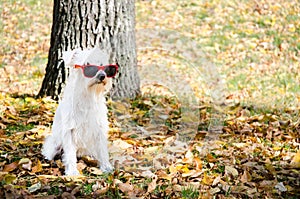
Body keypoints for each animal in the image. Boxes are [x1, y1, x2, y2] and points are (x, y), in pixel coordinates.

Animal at [42, 47, 117, 175]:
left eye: (103, 66)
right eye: (87, 65)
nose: (102, 76)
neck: (87, 95)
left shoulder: (99, 128)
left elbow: (102, 149)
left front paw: (106, 166)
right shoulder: (70, 130)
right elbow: (70, 153)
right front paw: (72, 171)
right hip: (56, 142)